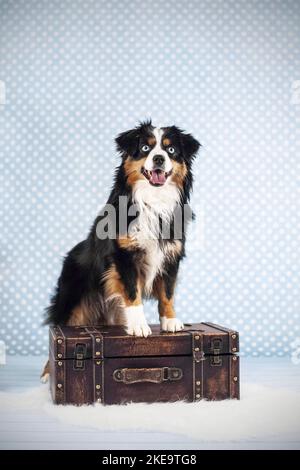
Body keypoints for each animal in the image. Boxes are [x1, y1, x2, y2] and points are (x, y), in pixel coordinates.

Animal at [39, 120, 199, 382]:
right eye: (145, 148)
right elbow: (133, 293)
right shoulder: (124, 258)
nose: (158, 159)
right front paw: (139, 326)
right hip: (71, 301)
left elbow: (167, 293)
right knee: (57, 330)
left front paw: (170, 321)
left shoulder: (171, 256)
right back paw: (47, 372)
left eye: (171, 150)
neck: (153, 202)